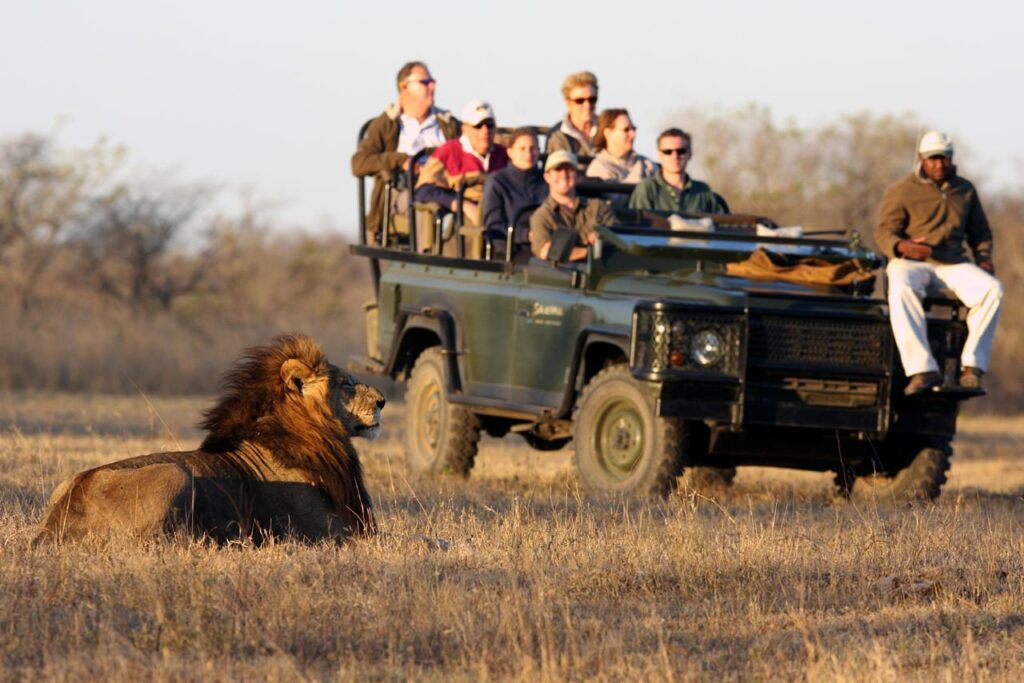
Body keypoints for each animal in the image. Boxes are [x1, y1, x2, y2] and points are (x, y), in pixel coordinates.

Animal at [34, 334, 384, 545]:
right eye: (346, 383)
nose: (382, 401)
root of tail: (57, 523)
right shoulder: (330, 532)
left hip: (62, 484)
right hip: (173, 474)